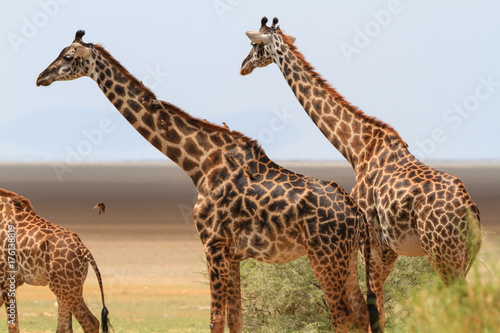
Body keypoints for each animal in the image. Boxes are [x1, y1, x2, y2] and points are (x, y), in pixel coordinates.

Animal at [0, 188, 109, 332]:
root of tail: (83, 248)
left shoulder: (6, 278)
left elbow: (13, 325)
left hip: (66, 288)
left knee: (90, 321)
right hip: (65, 287)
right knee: (65, 326)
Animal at [36, 31, 378, 332]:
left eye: (68, 56)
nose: (41, 77)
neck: (199, 163)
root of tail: (355, 213)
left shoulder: (212, 243)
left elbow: (215, 320)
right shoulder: (233, 253)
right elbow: (235, 320)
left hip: (324, 254)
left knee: (342, 315)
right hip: (347, 257)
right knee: (361, 312)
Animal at [240, 16, 482, 328]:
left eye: (254, 45)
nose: (243, 66)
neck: (357, 149)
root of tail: (471, 212)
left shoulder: (369, 237)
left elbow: (373, 306)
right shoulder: (388, 247)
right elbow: (377, 304)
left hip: (443, 254)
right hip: (463, 258)